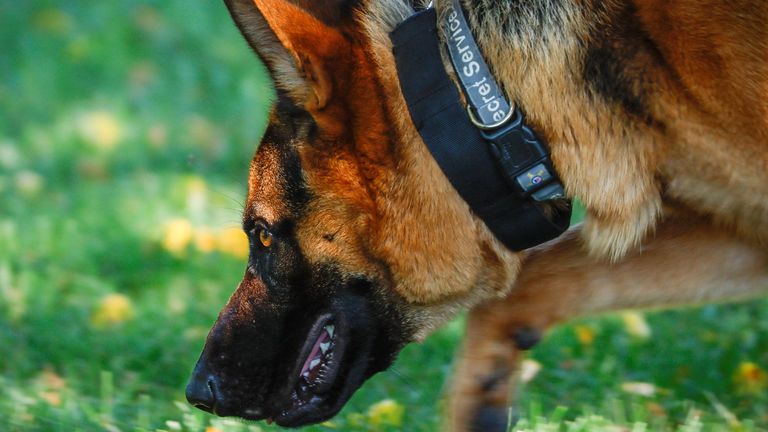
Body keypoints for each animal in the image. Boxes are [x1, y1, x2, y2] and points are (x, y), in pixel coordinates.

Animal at [186, 0, 768, 430]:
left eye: (262, 235)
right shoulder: (744, 238)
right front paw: (481, 401)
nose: (197, 391)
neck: (495, 112)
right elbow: (528, 283)